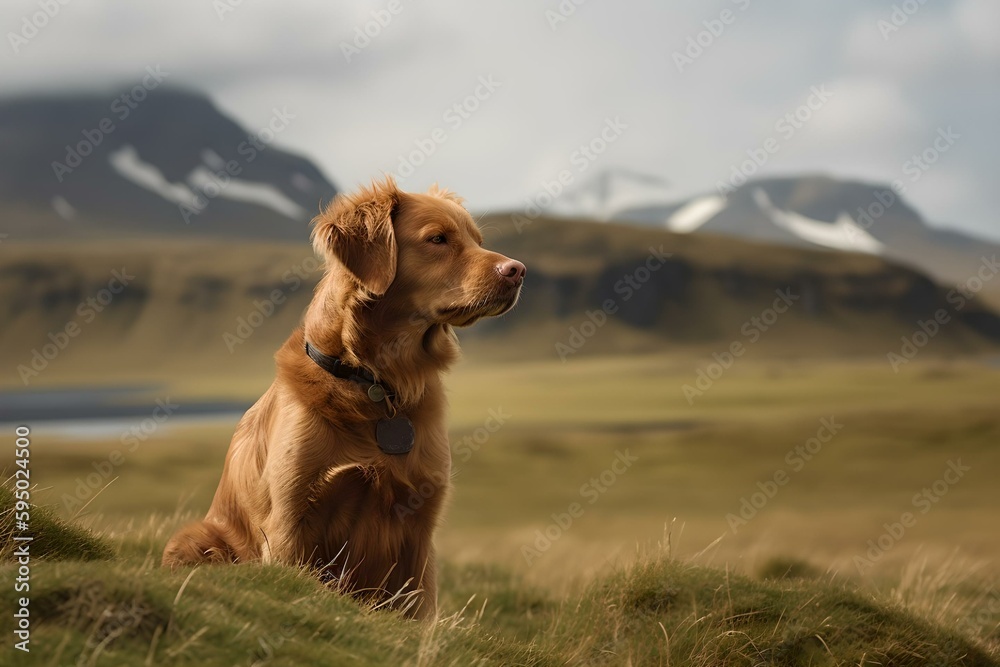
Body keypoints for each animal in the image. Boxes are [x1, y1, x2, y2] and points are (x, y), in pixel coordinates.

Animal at [158, 179, 524, 620]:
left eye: (478, 241)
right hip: (191, 539)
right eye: (438, 239)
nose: (519, 271)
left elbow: (418, 611)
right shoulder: (289, 518)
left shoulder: (420, 526)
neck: (377, 383)